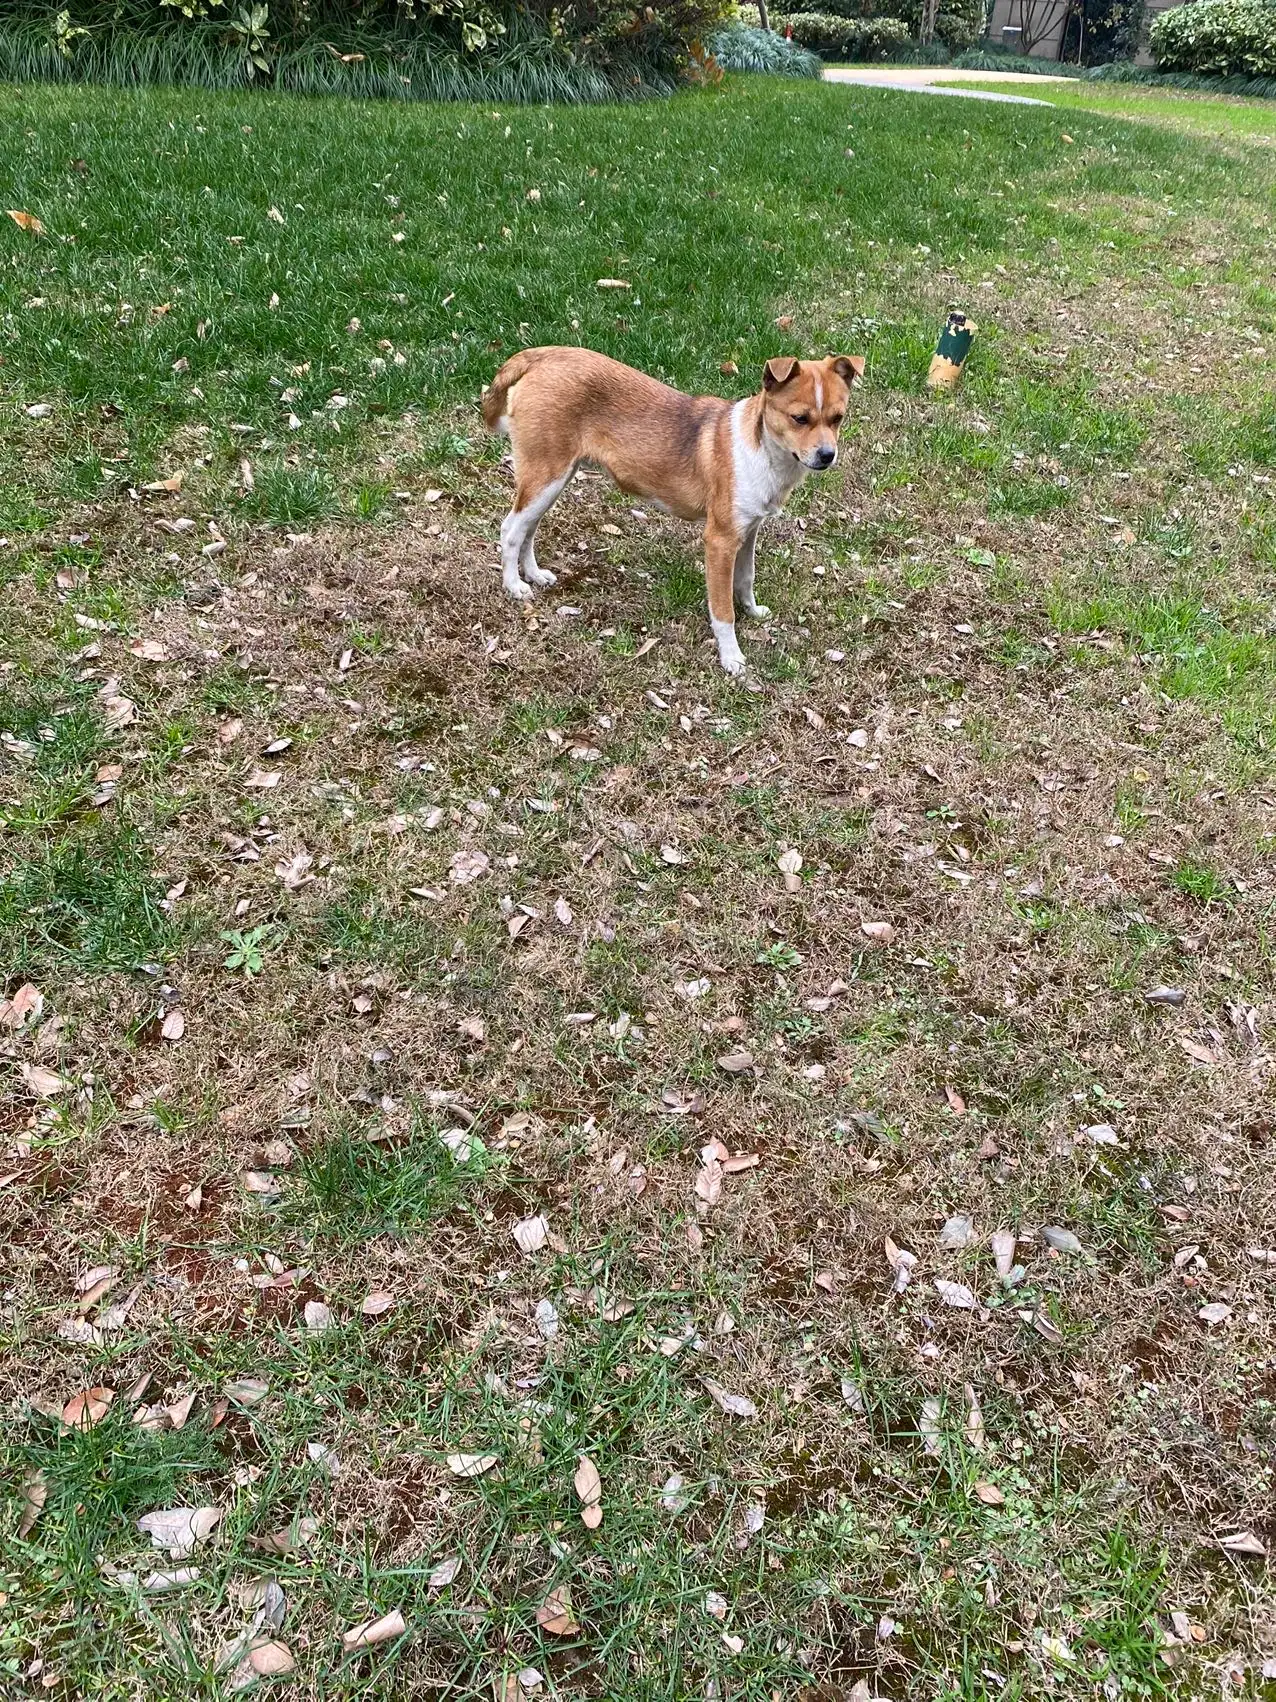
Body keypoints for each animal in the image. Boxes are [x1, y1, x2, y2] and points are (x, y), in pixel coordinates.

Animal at [483, 347, 864, 677]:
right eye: (799, 418)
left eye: (838, 419)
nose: (827, 455)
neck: (763, 451)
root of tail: (544, 354)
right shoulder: (720, 541)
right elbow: (722, 610)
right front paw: (732, 658)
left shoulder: (749, 531)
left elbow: (746, 578)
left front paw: (753, 611)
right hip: (545, 475)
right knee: (511, 529)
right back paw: (514, 585)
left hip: (554, 479)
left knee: (528, 528)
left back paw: (534, 575)